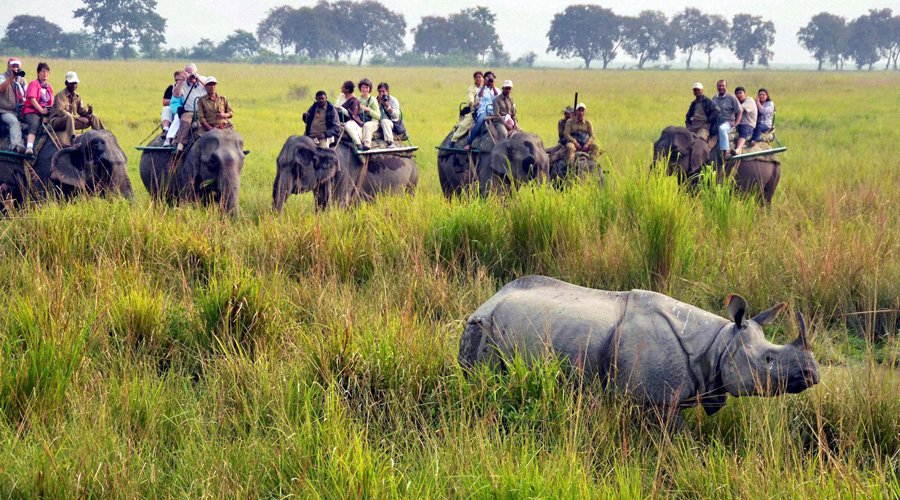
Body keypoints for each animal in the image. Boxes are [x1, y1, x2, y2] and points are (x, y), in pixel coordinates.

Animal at [270, 134, 418, 210]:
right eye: (278, 163)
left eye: (297, 167)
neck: (319, 146)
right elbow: (320, 204)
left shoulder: (344, 174)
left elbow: (337, 205)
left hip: (412, 180)